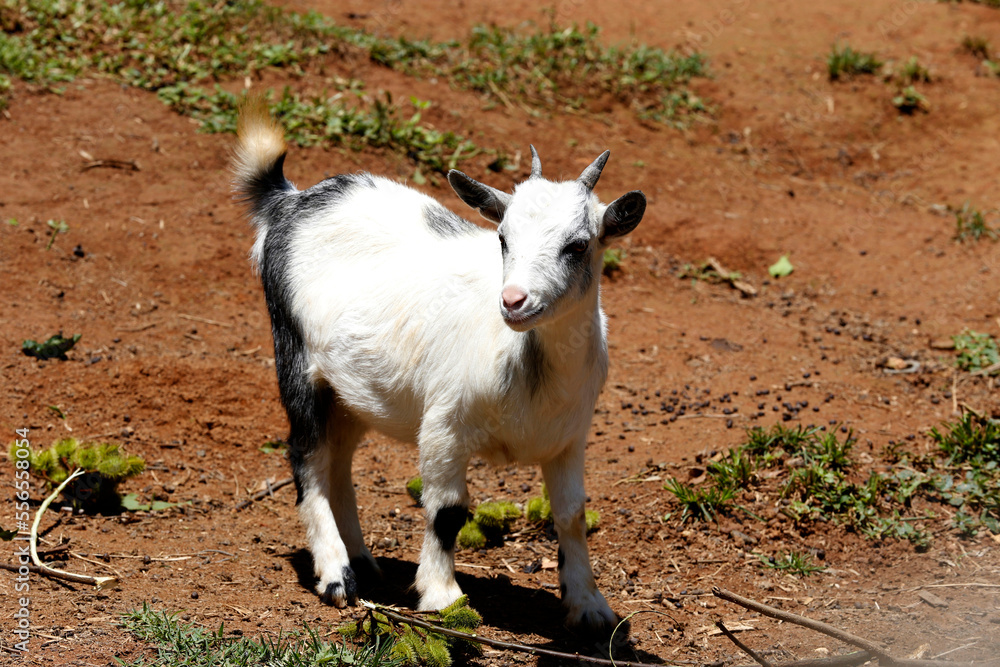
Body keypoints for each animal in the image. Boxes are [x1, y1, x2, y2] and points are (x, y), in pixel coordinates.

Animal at [232, 96, 646, 632]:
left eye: (578, 245)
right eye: (503, 238)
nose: (513, 301)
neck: (525, 363)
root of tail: (289, 201)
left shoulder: (569, 437)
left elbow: (571, 515)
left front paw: (590, 604)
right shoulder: (444, 425)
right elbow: (448, 510)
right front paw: (442, 595)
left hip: (350, 391)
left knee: (337, 458)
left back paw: (362, 560)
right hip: (297, 359)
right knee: (307, 456)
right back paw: (337, 575)